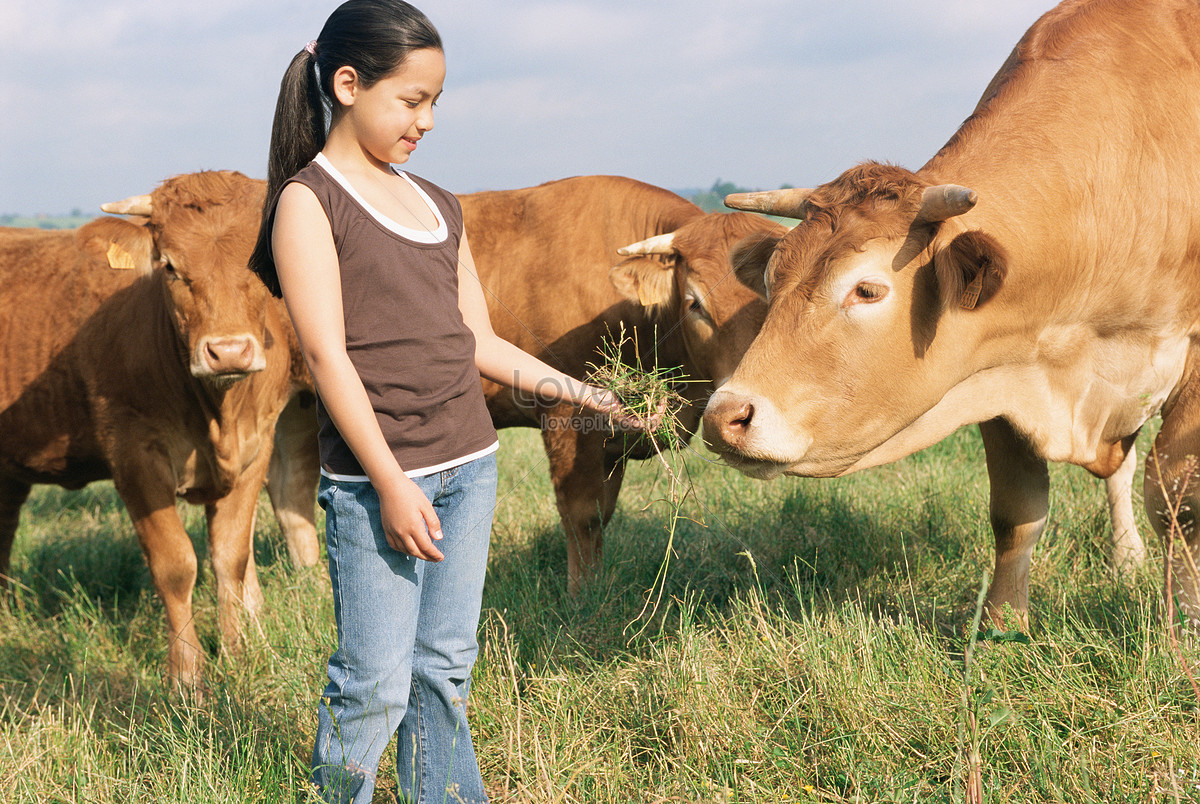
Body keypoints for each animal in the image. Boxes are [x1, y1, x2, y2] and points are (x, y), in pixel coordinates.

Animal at [0, 170, 295, 686]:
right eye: (170, 267)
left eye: (261, 264)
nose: (229, 351)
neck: (219, 415)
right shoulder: (134, 454)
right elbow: (175, 564)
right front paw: (187, 679)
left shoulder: (256, 449)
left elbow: (231, 558)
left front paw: (238, 658)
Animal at [705, 0, 1195, 624]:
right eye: (770, 280)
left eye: (867, 291)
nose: (724, 416)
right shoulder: (997, 367)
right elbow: (1016, 510)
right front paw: (1004, 624)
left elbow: (1177, 496)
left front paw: (1184, 619)